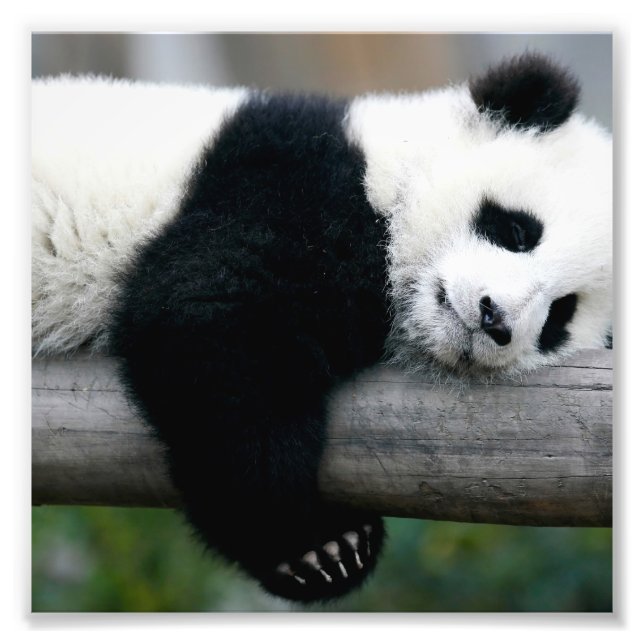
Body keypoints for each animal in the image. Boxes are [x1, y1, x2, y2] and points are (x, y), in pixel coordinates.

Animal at [32, 53, 612, 603]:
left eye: (561, 315)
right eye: (516, 230)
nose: (495, 319)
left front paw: (329, 552)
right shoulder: (287, 184)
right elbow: (208, 325)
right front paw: (318, 546)